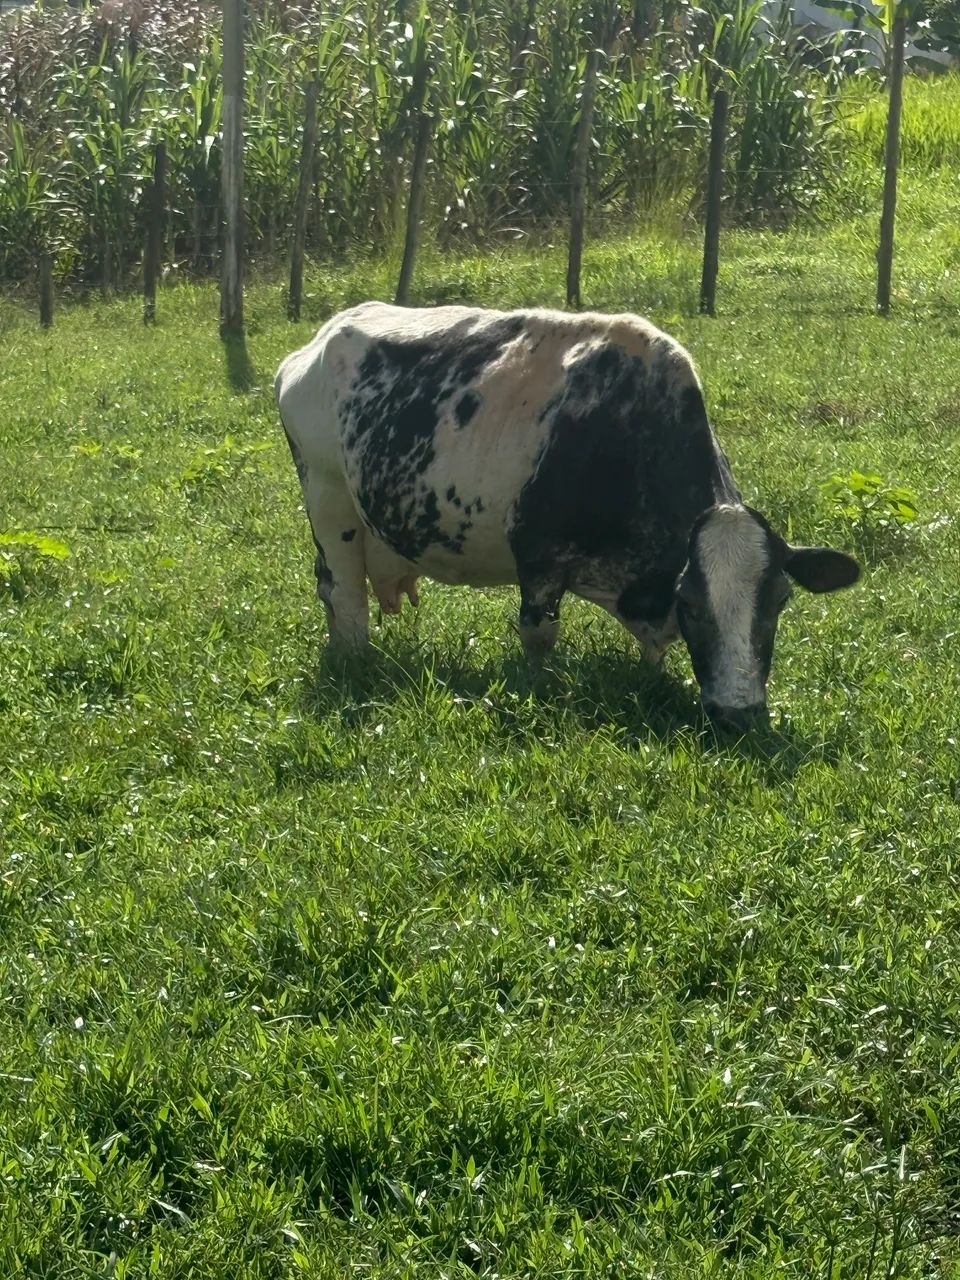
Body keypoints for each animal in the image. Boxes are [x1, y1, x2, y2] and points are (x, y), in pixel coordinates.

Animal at [275, 301, 860, 729]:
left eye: (780, 600)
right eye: (692, 604)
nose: (739, 715)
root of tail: (323, 335)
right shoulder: (538, 557)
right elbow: (538, 637)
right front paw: (536, 691)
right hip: (328, 500)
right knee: (345, 596)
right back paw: (357, 662)